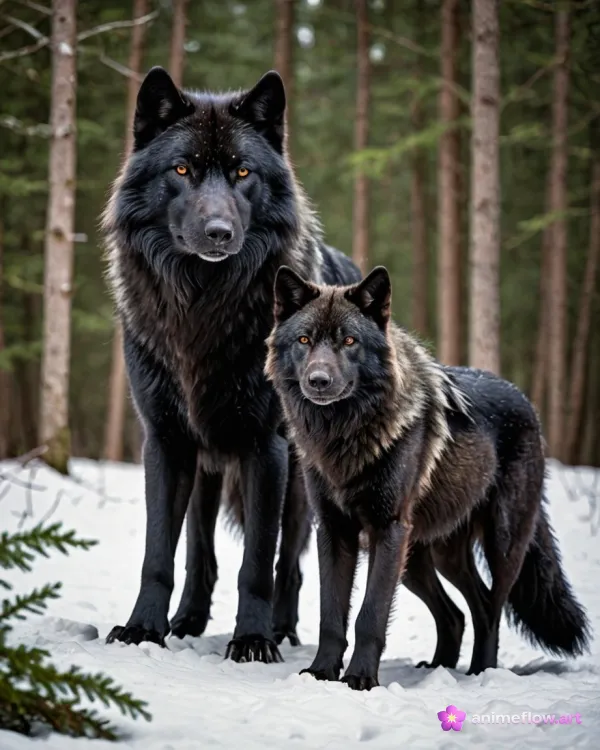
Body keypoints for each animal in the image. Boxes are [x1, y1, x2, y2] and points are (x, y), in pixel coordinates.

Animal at [102, 66, 360, 662]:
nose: (219, 232)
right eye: (182, 169)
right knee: (201, 553)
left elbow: (258, 565)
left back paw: (282, 630)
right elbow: (159, 554)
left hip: (299, 485)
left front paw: (252, 640)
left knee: (289, 566)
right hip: (207, 471)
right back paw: (187, 620)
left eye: (243, 171)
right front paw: (143, 629)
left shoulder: (265, 449)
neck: (204, 306)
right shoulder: (166, 441)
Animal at [266, 264, 590, 688]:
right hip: (428, 557)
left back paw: (481, 673)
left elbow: (369, 615)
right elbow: (331, 615)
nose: (318, 380)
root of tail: (526, 402)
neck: (343, 433)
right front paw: (321, 673)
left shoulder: (388, 529)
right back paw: (440, 669)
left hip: (498, 547)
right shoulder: (335, 531)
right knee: (461, 612)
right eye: (304, 340)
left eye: (349, 341)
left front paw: (360, 679)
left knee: (490, 610)